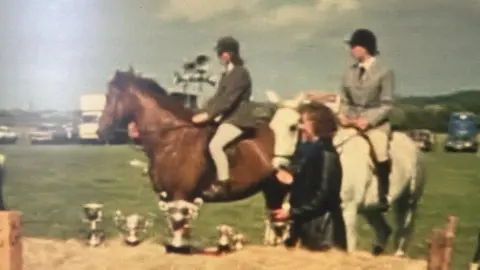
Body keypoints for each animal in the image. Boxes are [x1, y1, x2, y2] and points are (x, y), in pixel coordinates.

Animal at [95, 68, 286, 249]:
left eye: (111, 96)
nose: (100, 131)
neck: (171, 138)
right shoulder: (167, 197)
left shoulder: (181, 195)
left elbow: (180, 228)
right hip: (271, 188)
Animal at [266, 91, 428, 258]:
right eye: (272, 126)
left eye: (292, 127)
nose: (278, 167)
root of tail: (414, 145)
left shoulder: (347, 210)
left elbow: (349, 244)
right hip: (371, 209)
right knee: (383, 230)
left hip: (408, 202)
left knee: (403, 231)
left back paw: (398, 255)